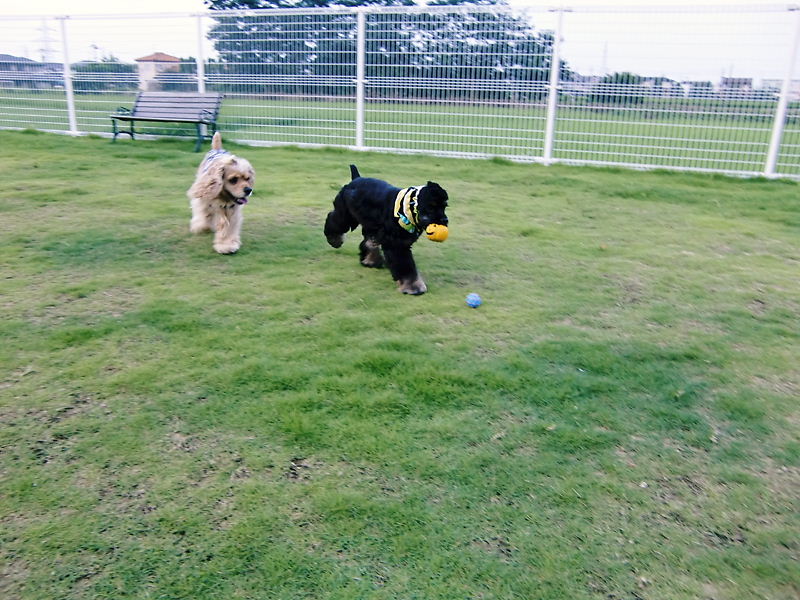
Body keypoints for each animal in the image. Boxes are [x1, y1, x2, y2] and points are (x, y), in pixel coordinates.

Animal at [324, 165, 449, 295]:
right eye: (431, 207)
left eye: (444, 206)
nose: (445, 220)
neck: (407, 208)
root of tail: (355, 179)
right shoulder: (396, 244)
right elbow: (406, 266)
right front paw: (413, 287)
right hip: (346, 214)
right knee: (334, 219)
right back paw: (334, 240)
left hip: (370, 225)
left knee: (369, 242)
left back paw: (370, 261)